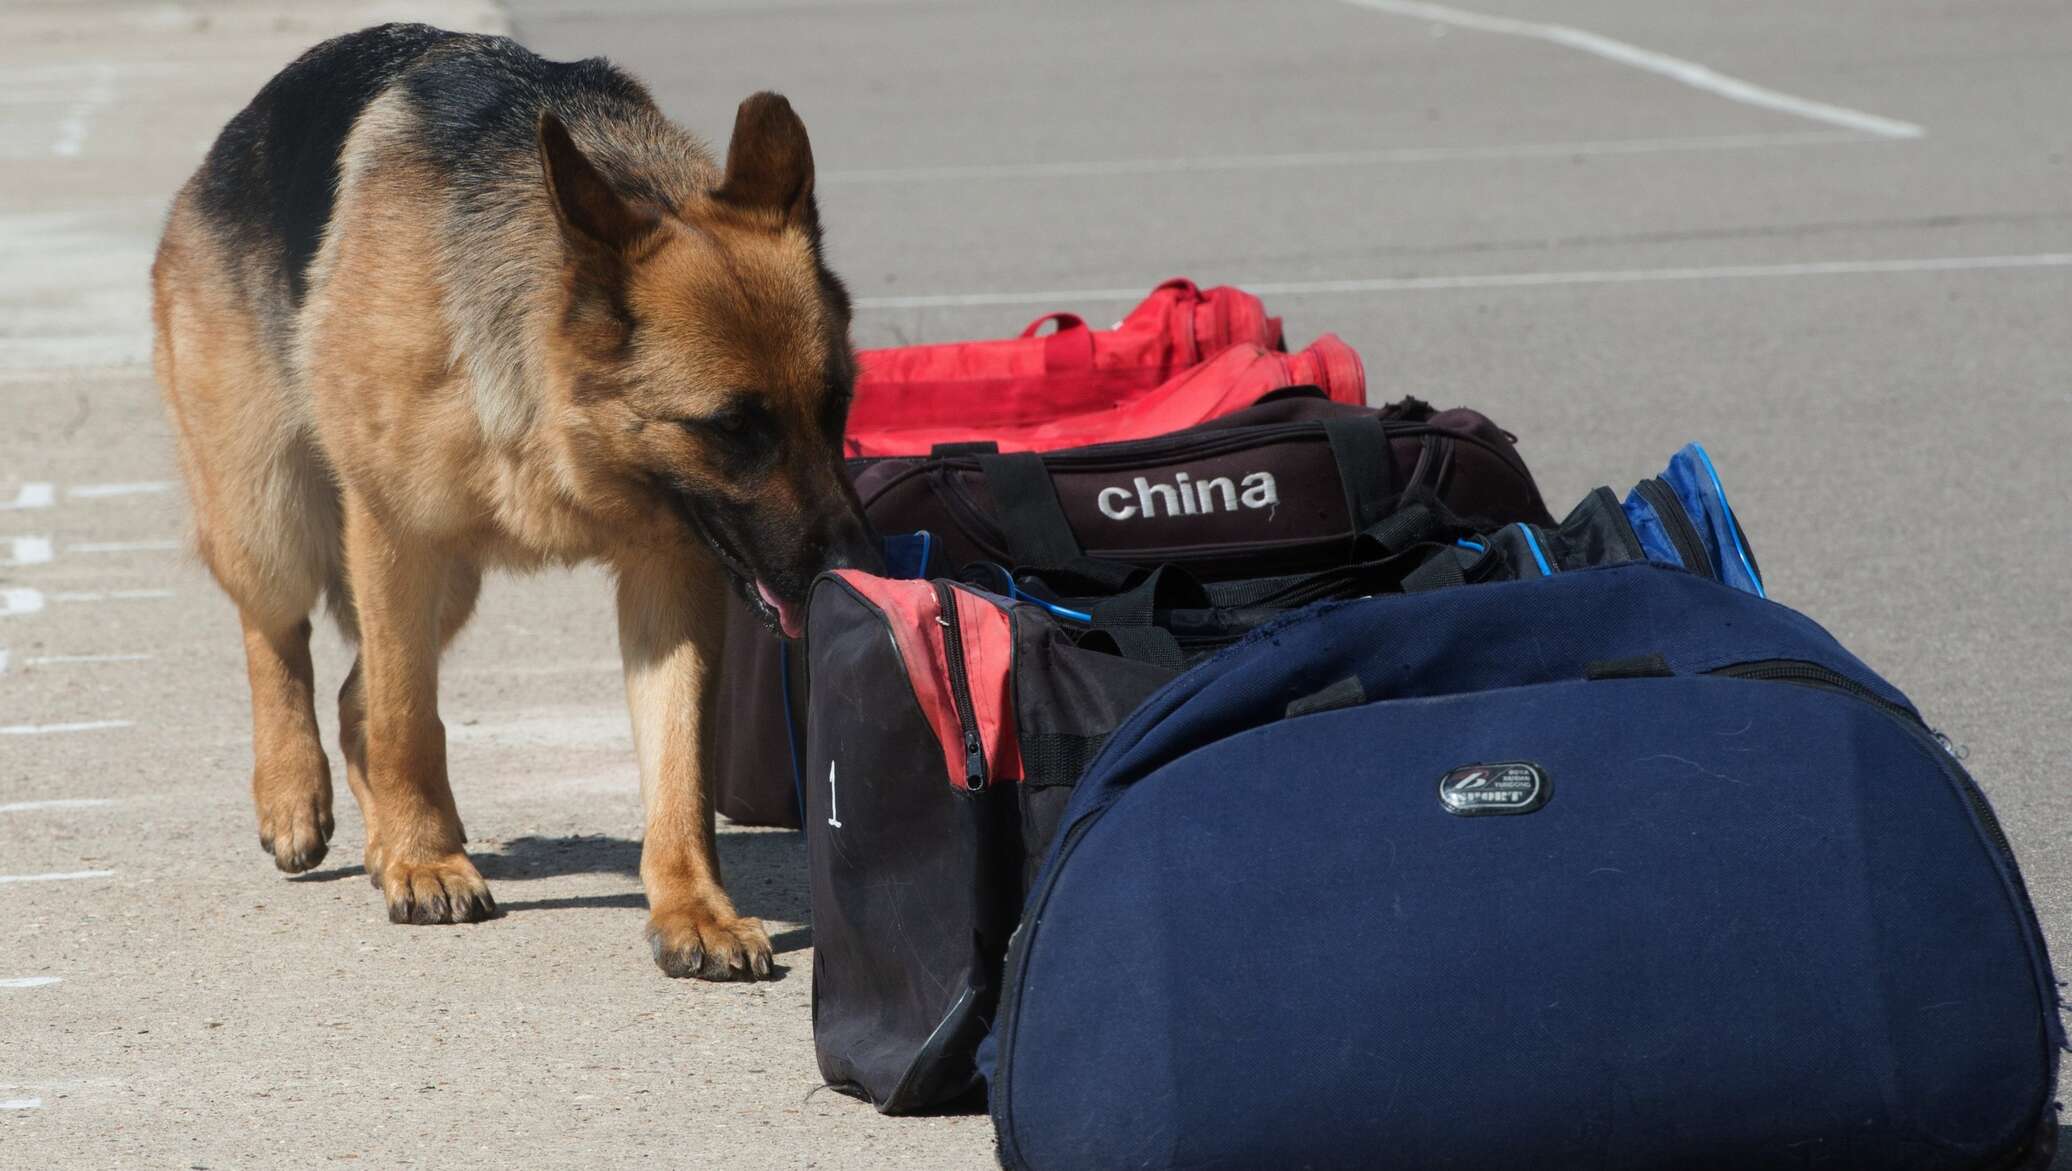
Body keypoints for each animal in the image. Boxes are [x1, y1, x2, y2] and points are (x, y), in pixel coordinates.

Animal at [153, 25, 874, 978]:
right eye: (733, 428)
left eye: (836, 407)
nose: (859, 565)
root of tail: (224, 147)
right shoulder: (391, 531)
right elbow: (407, 720)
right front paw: (424, 860)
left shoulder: (670, 573)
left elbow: (679, 763)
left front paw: (694, 907)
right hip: (275, 518)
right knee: (283, 641)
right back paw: (295, 795)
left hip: (448, 584)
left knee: (356, 695)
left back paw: (382, 833)